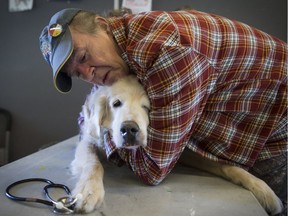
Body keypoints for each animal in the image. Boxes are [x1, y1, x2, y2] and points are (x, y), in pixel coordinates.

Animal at [71, 74, 282, 214]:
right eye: (116, 104)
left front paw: (263, 190)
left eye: (147, 107)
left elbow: (224, 165)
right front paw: (88, 192)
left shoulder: (180, 151)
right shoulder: (89, 138)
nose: (129, 129)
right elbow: (93, 164)